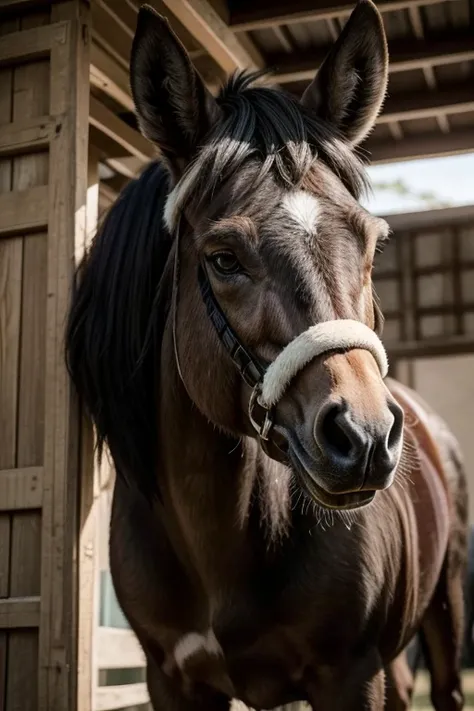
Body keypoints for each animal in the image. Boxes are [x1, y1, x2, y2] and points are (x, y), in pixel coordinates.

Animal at [65, 2, 468, 708]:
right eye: (224, 258)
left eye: (372, 243)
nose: (364, 436)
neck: (220, 546)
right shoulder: (172, 679)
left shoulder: (349, 674)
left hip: (444, 614)